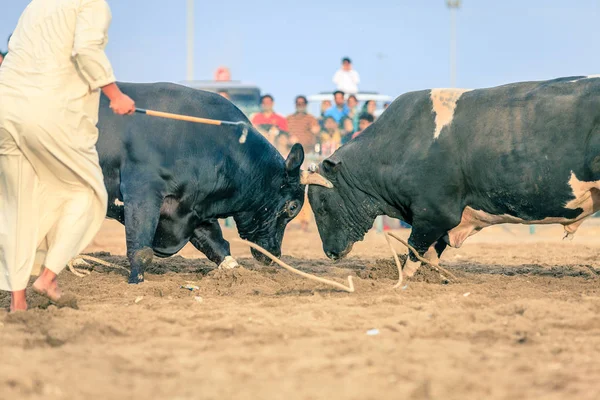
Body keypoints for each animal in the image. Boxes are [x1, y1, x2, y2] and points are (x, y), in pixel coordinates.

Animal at [99, 81, 332, 282]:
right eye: (293, 207)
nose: (274, 253)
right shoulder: (141, 191)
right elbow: (141, 249)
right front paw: (136, 282)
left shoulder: (192, 208)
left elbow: (215, 244)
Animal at [308, 76, 600, 278]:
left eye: (322, 205)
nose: (330, 253)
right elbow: (432, 253)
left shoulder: (434, 213)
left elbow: (416, 249)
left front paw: (404, 278)